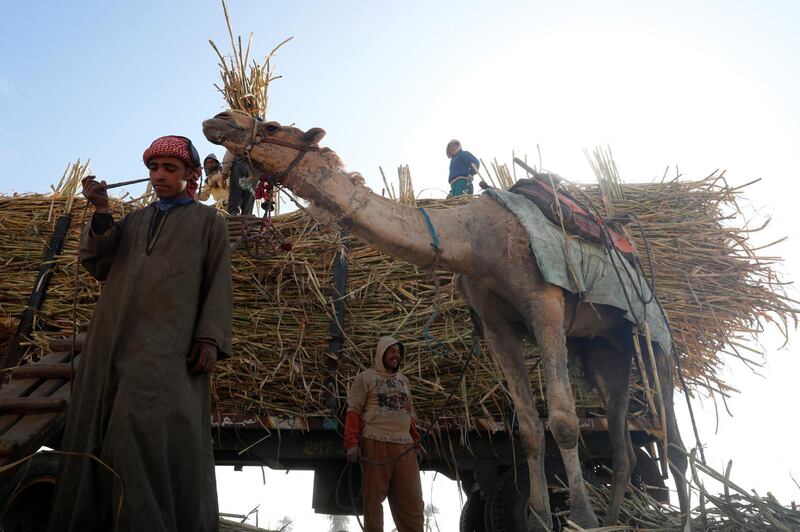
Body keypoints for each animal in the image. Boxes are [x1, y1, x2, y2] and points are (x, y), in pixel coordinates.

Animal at [203, 111, 692, 528]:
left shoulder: (544, 303)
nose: (218, 120)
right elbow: (530, 427)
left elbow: (564, 420)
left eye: (272, 126)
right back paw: (616, 517)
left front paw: (580, 518)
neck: (473, 240)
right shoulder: (495, 324)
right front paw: (539, 517)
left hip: (652, 335)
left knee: (672, 441)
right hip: (605, 348)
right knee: (626, 444)